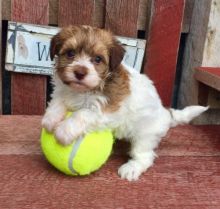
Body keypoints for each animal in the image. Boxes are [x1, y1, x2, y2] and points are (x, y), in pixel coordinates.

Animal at [42, 25, 209, 180]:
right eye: (70, 53)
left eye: (97, 59)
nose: (80, 72)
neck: (82, 91)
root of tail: (166, 114)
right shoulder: (63, 92)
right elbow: (57, 101)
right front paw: (50, 119)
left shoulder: (109, 109)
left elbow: (84, 113)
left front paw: (64, 131)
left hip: (145, 135)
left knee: (144, 155)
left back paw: (132, 168)